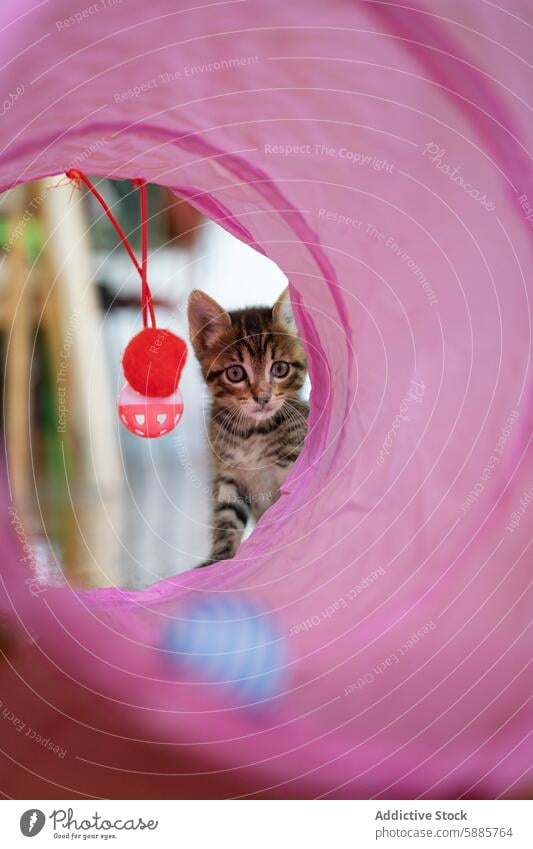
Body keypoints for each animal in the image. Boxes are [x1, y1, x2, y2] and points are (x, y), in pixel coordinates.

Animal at [187, 288, 310, 568]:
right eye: (235, 374)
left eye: (280, 368)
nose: (263, 397)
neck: (251, 433)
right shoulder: (228, 478)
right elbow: (226, 520)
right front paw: (217, 560)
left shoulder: (291, 470)